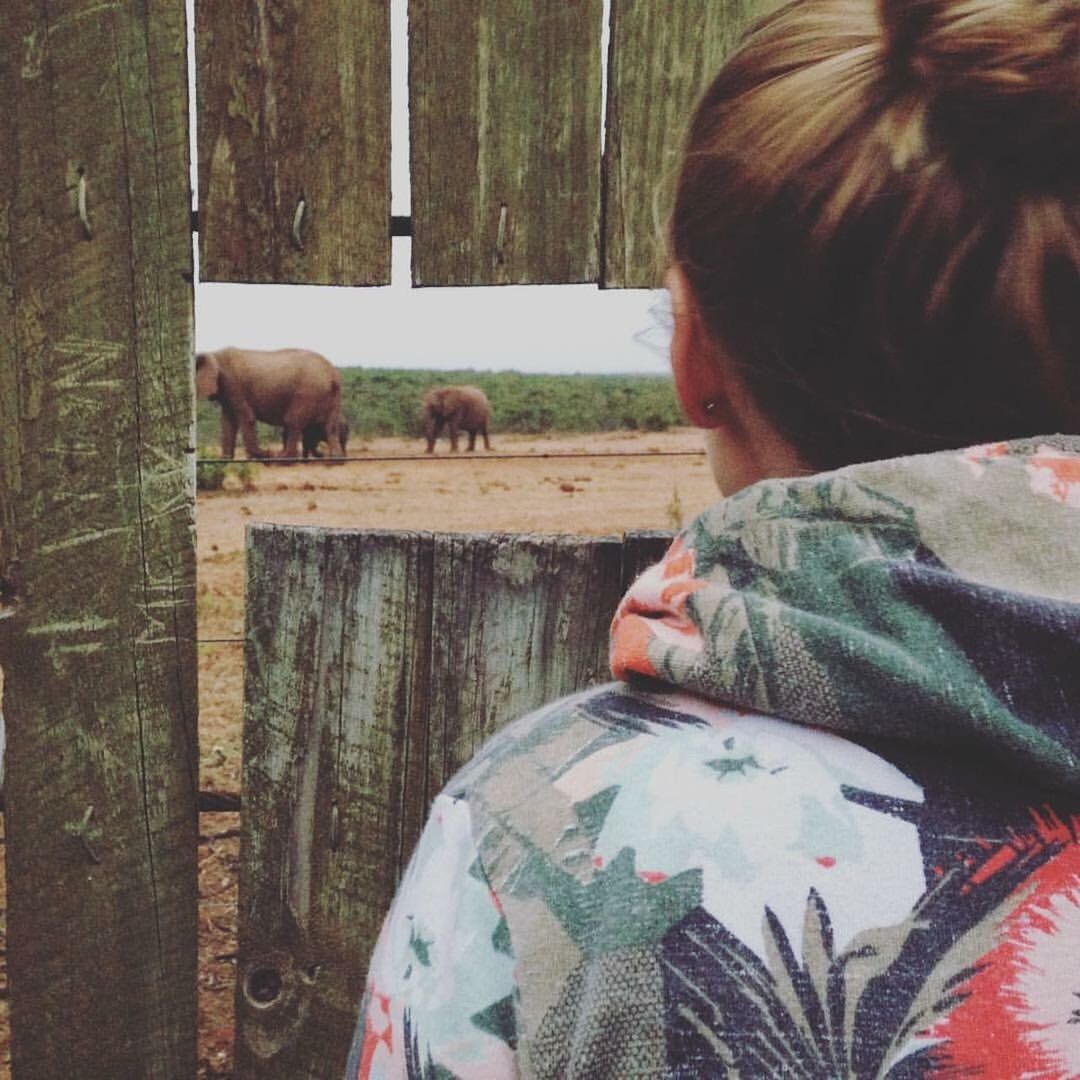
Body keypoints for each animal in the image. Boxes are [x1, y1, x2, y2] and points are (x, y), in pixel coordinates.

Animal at [195, 349, 345, 460]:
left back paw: (282, 458)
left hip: (308, 391)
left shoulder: (233, 384)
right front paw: (225, 461)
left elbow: (246, 418)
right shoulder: (227, 391)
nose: (268, 452)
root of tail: (333, 373)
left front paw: (264, 455)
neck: (214, 354)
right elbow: (227, 422)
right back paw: (334, 460)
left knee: (292, 422)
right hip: (332, 395)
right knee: (330, 426)